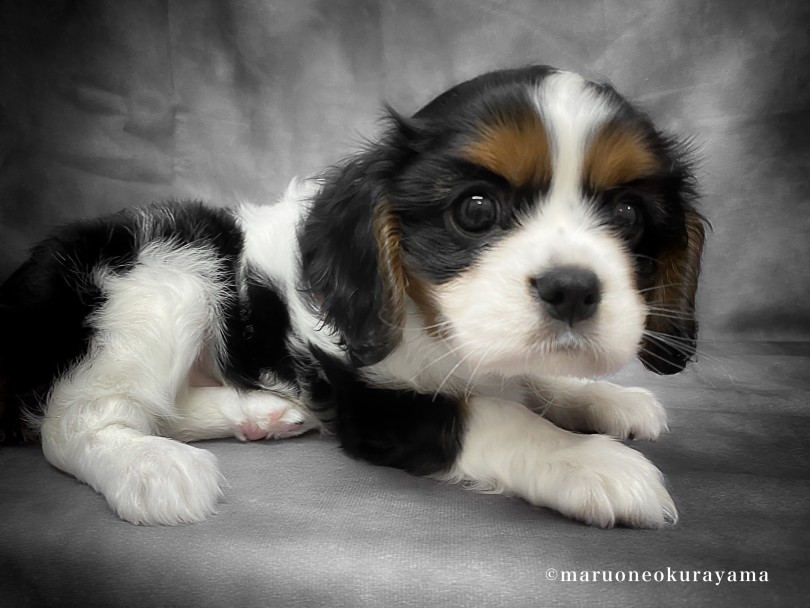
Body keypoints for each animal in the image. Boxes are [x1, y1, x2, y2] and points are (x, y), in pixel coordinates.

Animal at [0, 66, 700, 528]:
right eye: (475, 210)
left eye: (629, 216)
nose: (573, 288)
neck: (430, 320)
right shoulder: (373, 404)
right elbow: (492, 413)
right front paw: (585, 461)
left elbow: (530, 380)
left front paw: (600, 399)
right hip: (166, 270)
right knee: (71, 422)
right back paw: (148, 466)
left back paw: (258, 415)